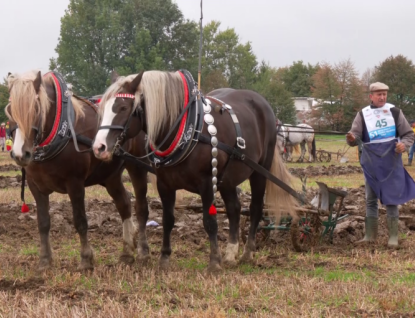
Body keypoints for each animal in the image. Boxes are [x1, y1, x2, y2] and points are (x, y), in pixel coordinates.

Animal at [6, 71, 150, 270]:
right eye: (10, 110)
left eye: (36, 109)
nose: (20, 154)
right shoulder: (36, 186)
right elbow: (43, 222)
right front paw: (44, 260)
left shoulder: (75, 183)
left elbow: (80, 221)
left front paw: (86, 260)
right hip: (110, 176)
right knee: (124, 204)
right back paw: (127, 252)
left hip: (137, 167)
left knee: (140, 206)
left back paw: (141, 250)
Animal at [92, 71, 298, 272]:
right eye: (101, 109)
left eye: (123, 108)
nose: (99, 147)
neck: (185, 129)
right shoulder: (165, 184)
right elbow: (168, 219)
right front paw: (164, 258)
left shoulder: (207, 183)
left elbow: (209, 221)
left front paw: (214, 262)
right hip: (227, 179)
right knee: (234, 209)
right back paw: (231, 254)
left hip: (260, 170)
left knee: (255, 208)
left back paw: (247, 253)